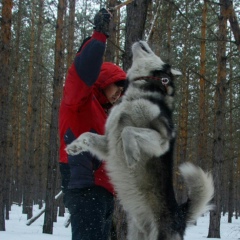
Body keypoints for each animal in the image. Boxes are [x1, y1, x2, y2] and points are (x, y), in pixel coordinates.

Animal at [65, 41, 214, 240]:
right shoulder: (109, 144)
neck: (136, 95)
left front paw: (132, 155)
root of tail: (179, 216)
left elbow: (128, 131)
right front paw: (74, 146)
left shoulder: (163, 139)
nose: (141, 41)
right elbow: (87, 135)